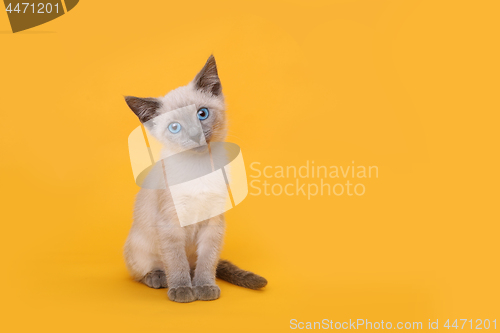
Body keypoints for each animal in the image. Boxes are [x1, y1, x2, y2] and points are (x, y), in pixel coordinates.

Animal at [123, 55, 268, 302]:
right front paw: (182, 290)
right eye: (175, 127)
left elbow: (207, 261)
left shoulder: (214, 222)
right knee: (144, 271)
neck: (199, 170)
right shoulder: (170, 223)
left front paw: (204, 287)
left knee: (198, 266)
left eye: (202, 114)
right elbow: (176, 262)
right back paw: (158, 278)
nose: (194, 134)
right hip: (139, 246)